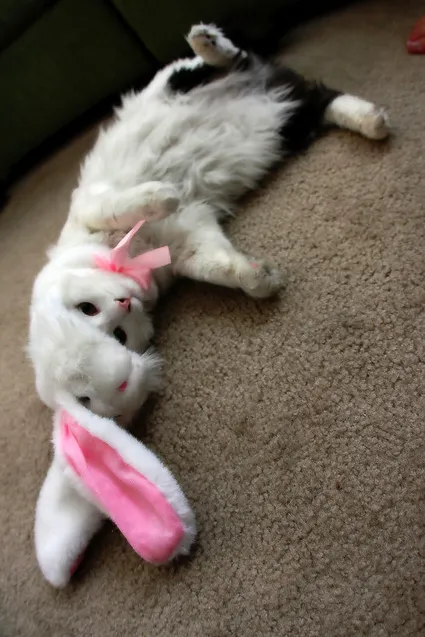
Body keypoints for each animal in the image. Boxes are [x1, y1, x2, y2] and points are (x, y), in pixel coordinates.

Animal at [29, 23, 390, 422]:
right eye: (120, 335)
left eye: (87, 309)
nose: (124, 302)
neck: (134, 262)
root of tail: (268, 86)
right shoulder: (188, 240)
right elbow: (224, 268)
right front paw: (262, 277)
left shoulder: (92, 203)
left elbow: (122, 205)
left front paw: (163, 195)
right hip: (291, 125)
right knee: (320, 99)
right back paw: (372, 119)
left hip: (179, 80)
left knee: (233, 58)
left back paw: (207, 41)